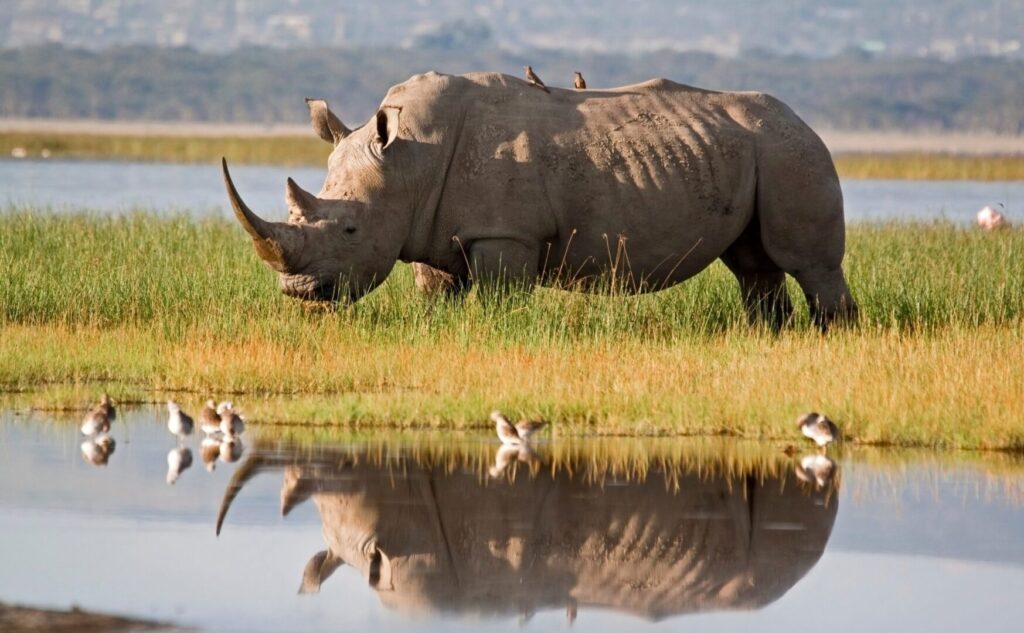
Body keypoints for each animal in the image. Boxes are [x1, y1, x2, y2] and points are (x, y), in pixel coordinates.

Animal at [223, 71, 857, 329]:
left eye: (350, 231)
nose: (300, 293)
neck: (408, 162)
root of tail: (803, 120)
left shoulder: (505, 234)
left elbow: (499, 300)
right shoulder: (429, 229)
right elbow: (436, 294)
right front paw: (437, 329)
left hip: (792, 152)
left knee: (810, 263)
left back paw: (833, 335)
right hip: (760, 151)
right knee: (754, 266)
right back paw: (769, 336)